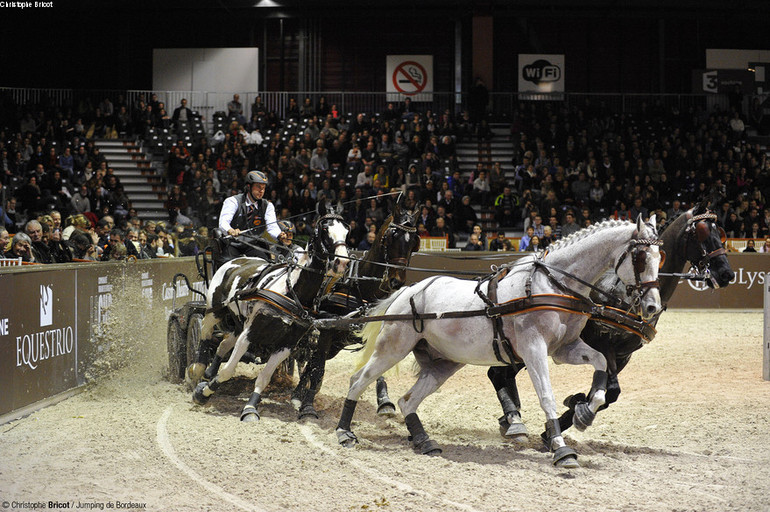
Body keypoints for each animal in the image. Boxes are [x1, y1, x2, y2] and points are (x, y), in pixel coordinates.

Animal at [192, 202, 348, 422]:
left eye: (347, 230)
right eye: (325, 229)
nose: (342, 263)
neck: (291, 291)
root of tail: (234, 261)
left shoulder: (286, 345)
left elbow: (264, 377)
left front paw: (250, 408)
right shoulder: (250, 333)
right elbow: (228, 370)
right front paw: (203, 393)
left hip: (238, 322)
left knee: (224, 343)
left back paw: (208, 372)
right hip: (214, 311)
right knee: (205, 334)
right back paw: (198, 369)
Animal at [290, 200, 420, 420]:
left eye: (413, 244)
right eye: (392, 237)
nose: (396, 281)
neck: (362, 286)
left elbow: (375, 371)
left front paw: (384, 402)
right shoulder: (327, 331)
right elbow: (318, 370)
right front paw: (307, 407)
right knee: (308, 359)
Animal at [334, 216, 660, 468]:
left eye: (661, 258)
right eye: (641, 258)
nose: (653, 307)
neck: (552, 284)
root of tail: (408, 290)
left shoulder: (564, 349)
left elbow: (601, 365)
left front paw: (584, 412)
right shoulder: (534, 350)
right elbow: (546, 397)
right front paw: (560, 448)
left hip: (444, 364)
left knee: (408, 400)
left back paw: (424, 441)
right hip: (392, 348)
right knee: (357, 381)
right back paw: (344, 433)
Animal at [492, 202, 732, 442]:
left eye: (721, 233)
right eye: (702, 233)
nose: (726, 273)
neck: (625, 296)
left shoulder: (623, 355)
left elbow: (607, 394)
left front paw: (573, 410)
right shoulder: (604, 343)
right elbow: (611, 390)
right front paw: (575, 408)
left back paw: (511, 420)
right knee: (497, 374)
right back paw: (514, 421)